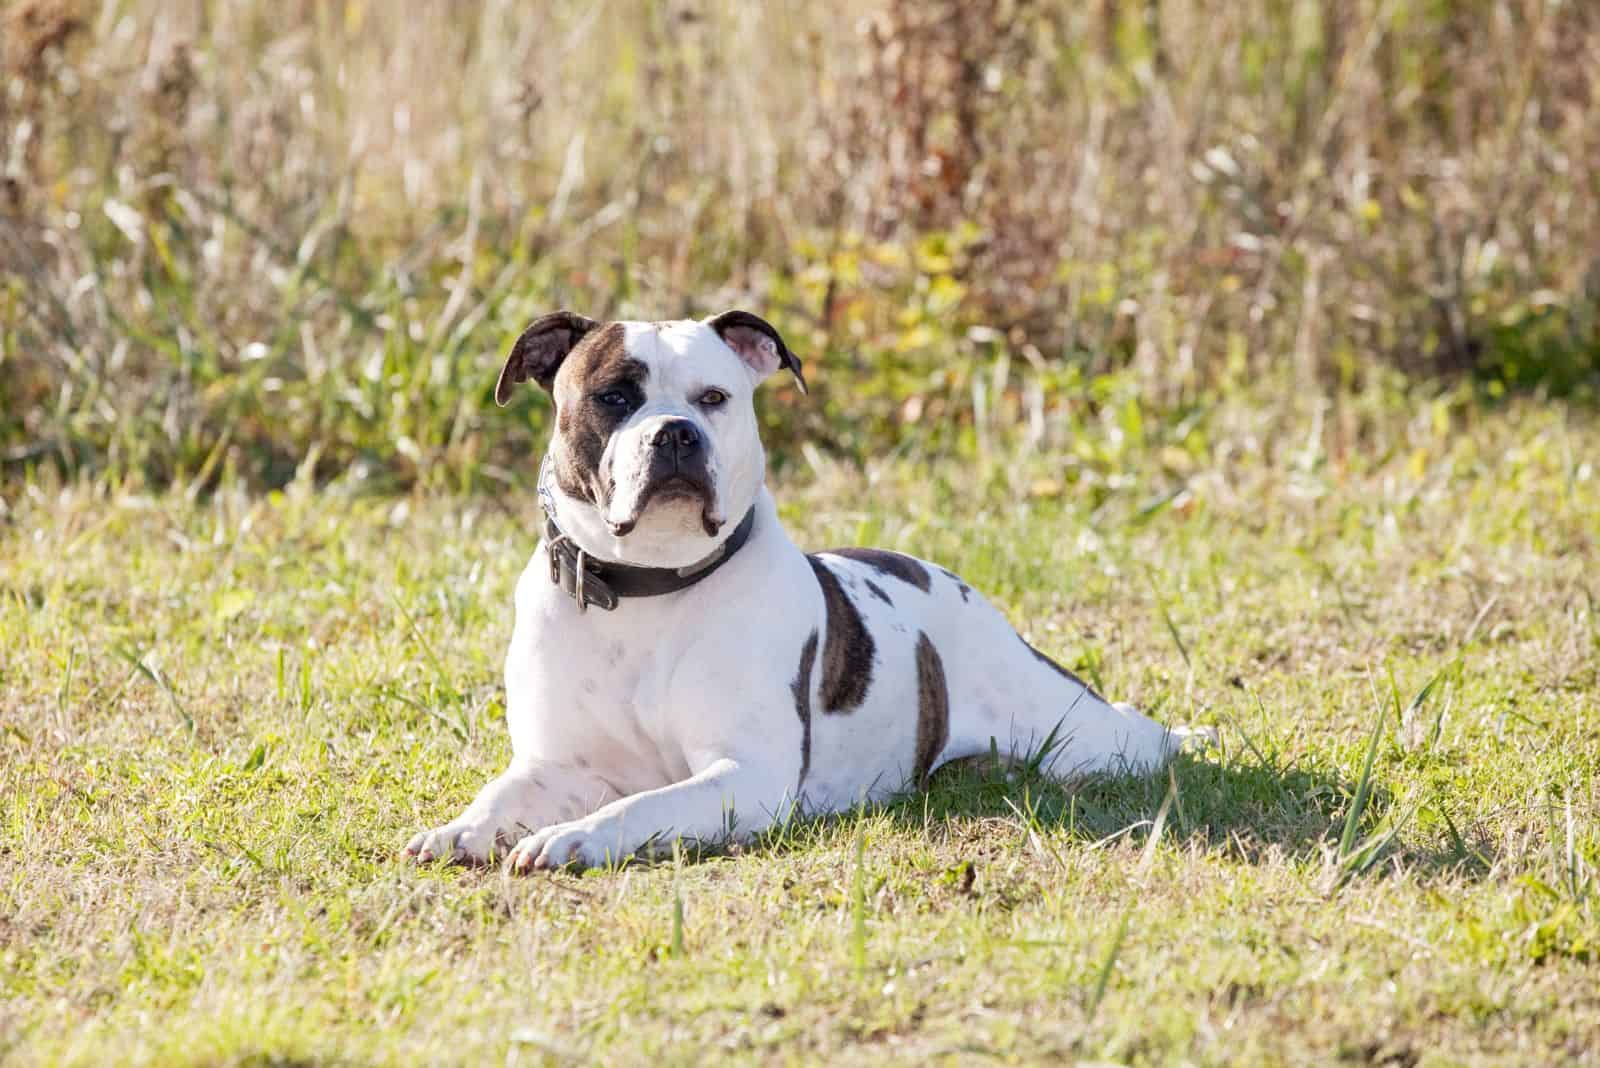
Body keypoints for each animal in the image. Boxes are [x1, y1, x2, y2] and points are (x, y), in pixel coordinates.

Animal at [403, 306, 1203, 869]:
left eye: (715, 397)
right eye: (613, 397)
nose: (675, 433)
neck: (647, 589)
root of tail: (952, 583)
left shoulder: (744, 775)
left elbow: (643, 808)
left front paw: (575, 839)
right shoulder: (556, 765)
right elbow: (499, 794)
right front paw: (461, 829)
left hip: (1082, 736)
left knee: (1138, 733)